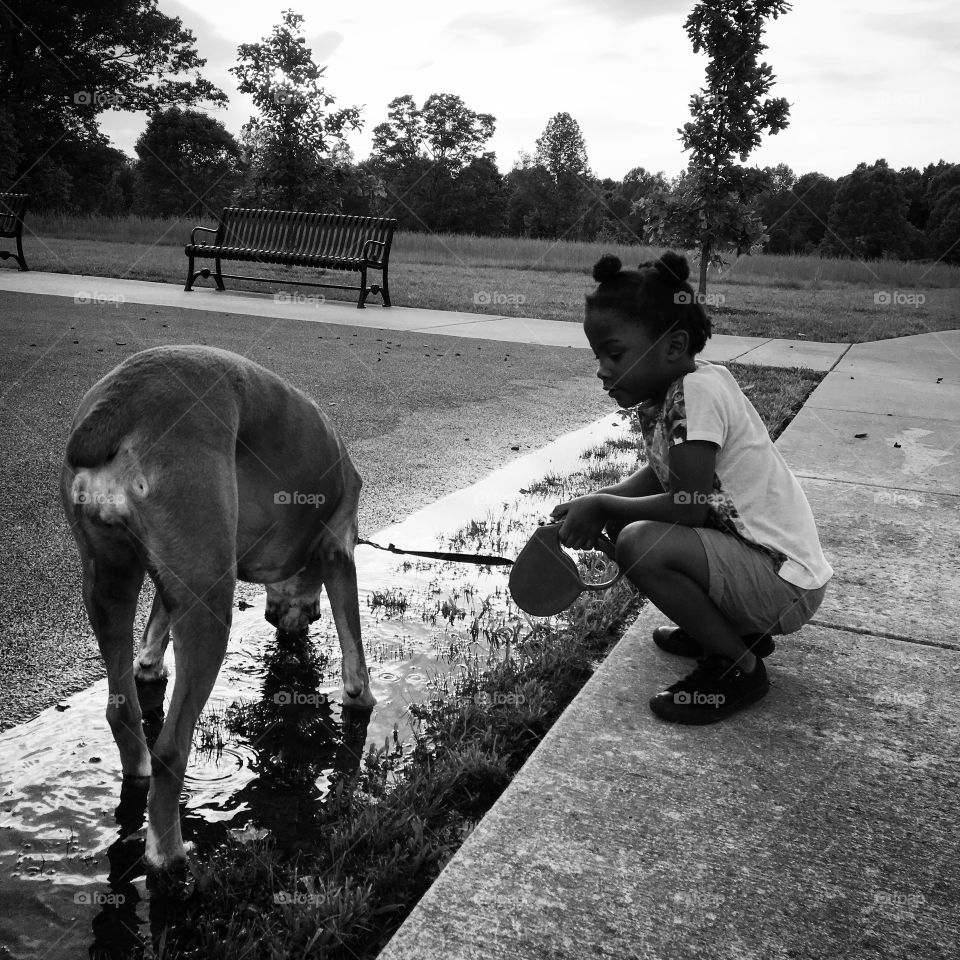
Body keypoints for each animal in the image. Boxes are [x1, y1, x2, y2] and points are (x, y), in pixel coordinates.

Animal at [59, 344, 376, 872]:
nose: (288, 628)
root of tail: (121, 399)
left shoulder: (178, 580)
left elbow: (156, 623)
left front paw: (150, 662)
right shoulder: (337, 550)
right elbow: (353, 638)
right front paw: (361, 696)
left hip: (112, 580)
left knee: (124, 712)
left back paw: (137, 775)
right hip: (211, 604)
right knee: (170, 749)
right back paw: (168, 854)